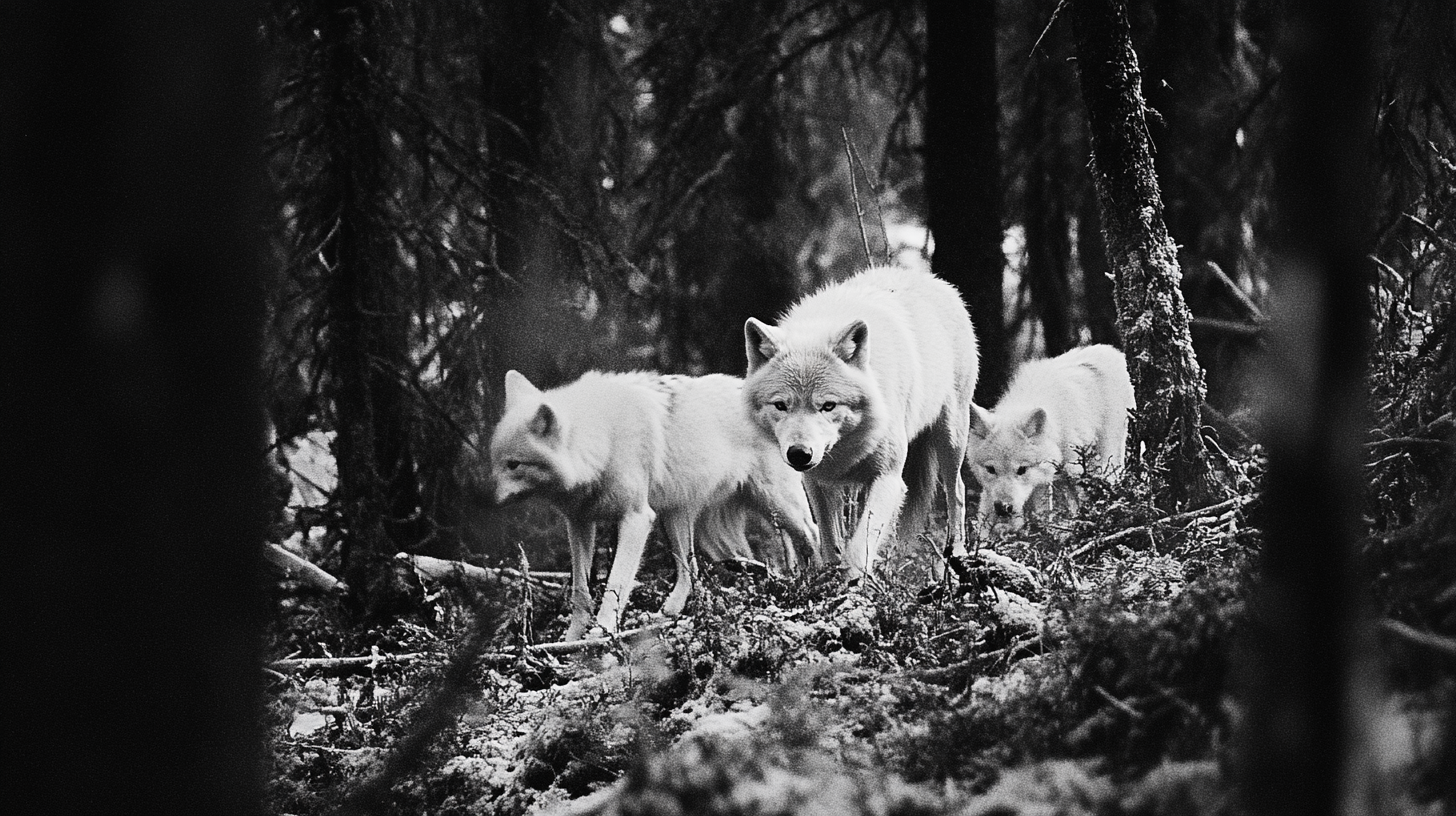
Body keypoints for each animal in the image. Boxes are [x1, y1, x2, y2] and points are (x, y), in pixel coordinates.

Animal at [489, 367, 821, 641]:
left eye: (514, 465)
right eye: (496, 462)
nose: (491, 500)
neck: (604, 440)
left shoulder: (636, 518)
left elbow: (616, 584)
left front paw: (602, 631)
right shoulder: (579, 523)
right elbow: (580, 592)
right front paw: (571, 640)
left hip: (775, 504)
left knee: (812, 534)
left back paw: (820, 580)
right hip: (679, 520)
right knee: (691, 572)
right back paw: (669, 613)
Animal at [751, 266, 978, 579]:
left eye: (828, 406)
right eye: (781, 406)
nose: (799, 453)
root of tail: (931, 279)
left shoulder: (888, 478)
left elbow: (859, 545)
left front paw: (852, 580)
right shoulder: (816, 482)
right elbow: (830, 540)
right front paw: (831, 576)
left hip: (951, 438)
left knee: (957, 491)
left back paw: (955, 555)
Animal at [966, 340, 1135, 533]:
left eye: (1021, 470)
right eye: (991, 469)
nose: (1003, 508)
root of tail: (1117, 353)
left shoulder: (1071, 471)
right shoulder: (1039, 480)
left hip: (1105, 460)